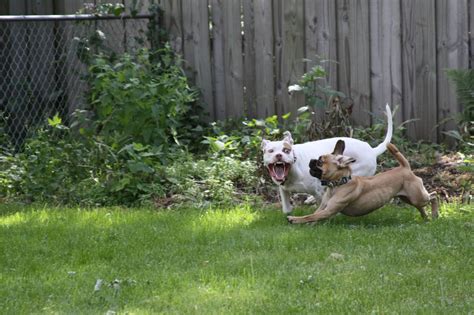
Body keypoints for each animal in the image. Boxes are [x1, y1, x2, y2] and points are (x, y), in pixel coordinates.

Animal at [262, 105, 392, 214]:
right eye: (270, 151)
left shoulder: (319, 193)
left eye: (286, 150)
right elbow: (287, 209)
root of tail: (372, 150)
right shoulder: (283, 189)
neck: (293, 168)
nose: (279, 155)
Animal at [286, 141, 436, 225]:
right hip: (408, 198)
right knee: (421, 206)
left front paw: (294, 219)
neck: (339, 184)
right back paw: (425, 217)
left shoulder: (328, 211)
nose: (311, 160)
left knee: (433, 195)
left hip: (417, 197)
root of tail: (405, 167)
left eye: (320, 162)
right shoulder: (323, 208)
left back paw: (434, 213)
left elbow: (310, 216)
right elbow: (313, 215)